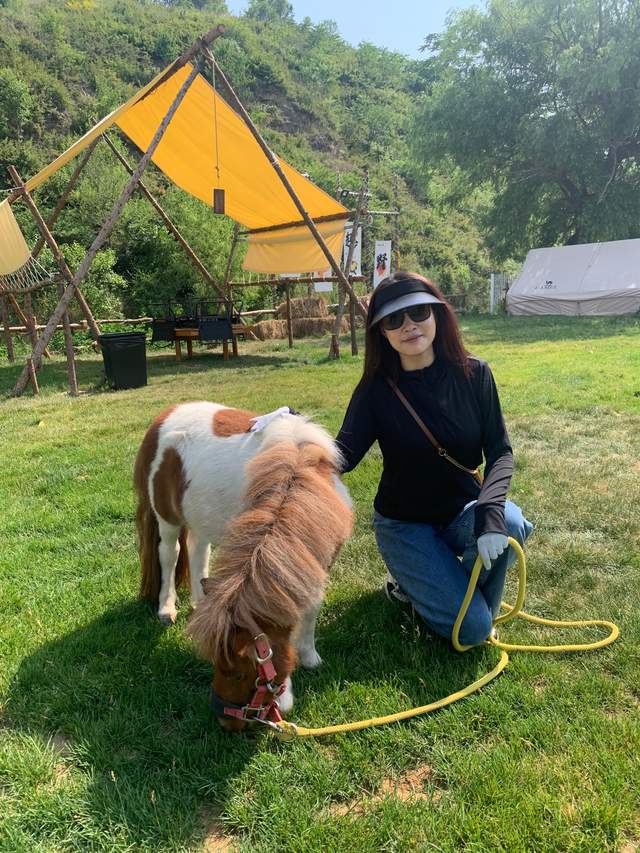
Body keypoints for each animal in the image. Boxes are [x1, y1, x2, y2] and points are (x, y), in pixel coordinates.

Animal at [134, 402, 353, 731]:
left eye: (237, 672)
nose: (225, 722)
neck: (296, 475)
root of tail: (164, 416)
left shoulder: (315, 566)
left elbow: (310, 608)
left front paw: (309, 656)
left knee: (198, 551)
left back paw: (201, 604)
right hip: (167, 518)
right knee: (170, 554)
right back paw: (166, 608)